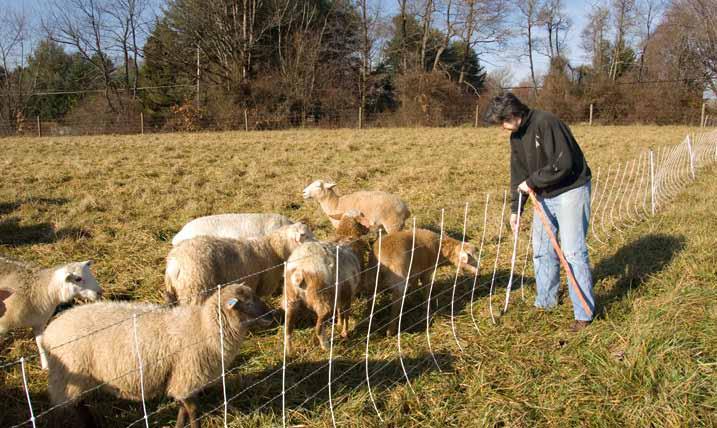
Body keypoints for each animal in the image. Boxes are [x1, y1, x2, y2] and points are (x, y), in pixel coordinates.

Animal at [42, 282, 272, 426]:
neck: (203, 327)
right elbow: (192, 409)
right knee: (77, 406)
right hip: (69, 378)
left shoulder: (181, 377)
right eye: (247, 302)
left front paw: (179, 425)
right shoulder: (187, 374)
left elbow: (183, 407)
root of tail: (50, 331)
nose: (272, 315)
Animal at [168, 221, 316, 304]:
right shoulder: (264, 280)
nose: (318, 243)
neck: (273, 248)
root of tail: (173, 265)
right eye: (306, 235)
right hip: (196, 288)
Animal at [282, 212, 370, 356]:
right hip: (322, 297)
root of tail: (300, 270)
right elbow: (346, 314)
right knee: (318, 327)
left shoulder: (341, 291)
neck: (345, 234)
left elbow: (340, 311)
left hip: (291, 298)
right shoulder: (348, 292)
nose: (367, 230)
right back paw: (327, 347)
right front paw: (345, 332)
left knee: (288, 329)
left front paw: (339, 324)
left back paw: (289, 352)